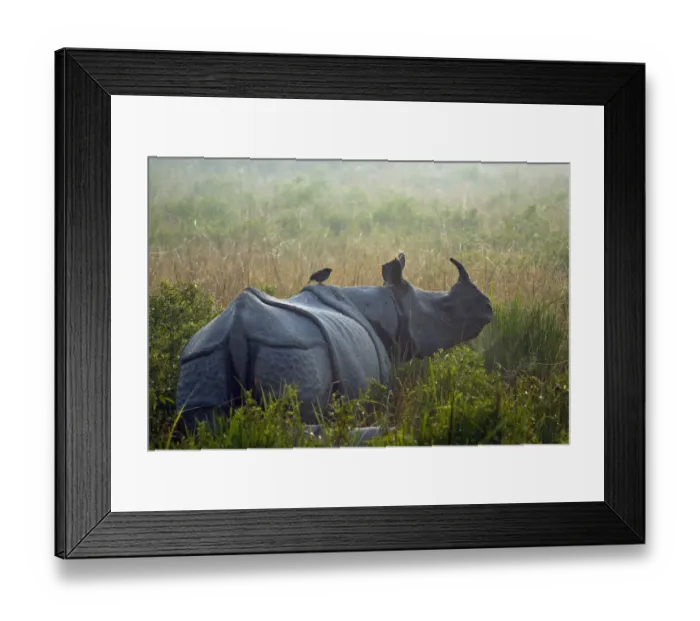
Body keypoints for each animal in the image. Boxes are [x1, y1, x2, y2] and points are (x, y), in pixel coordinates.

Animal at [175, 253, 494, 442]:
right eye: (446, 309)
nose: (488, 309)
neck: (393, 307)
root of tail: (238, 330)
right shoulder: (377, 391)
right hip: (294, 351)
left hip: (203, 358)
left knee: (205, 426)